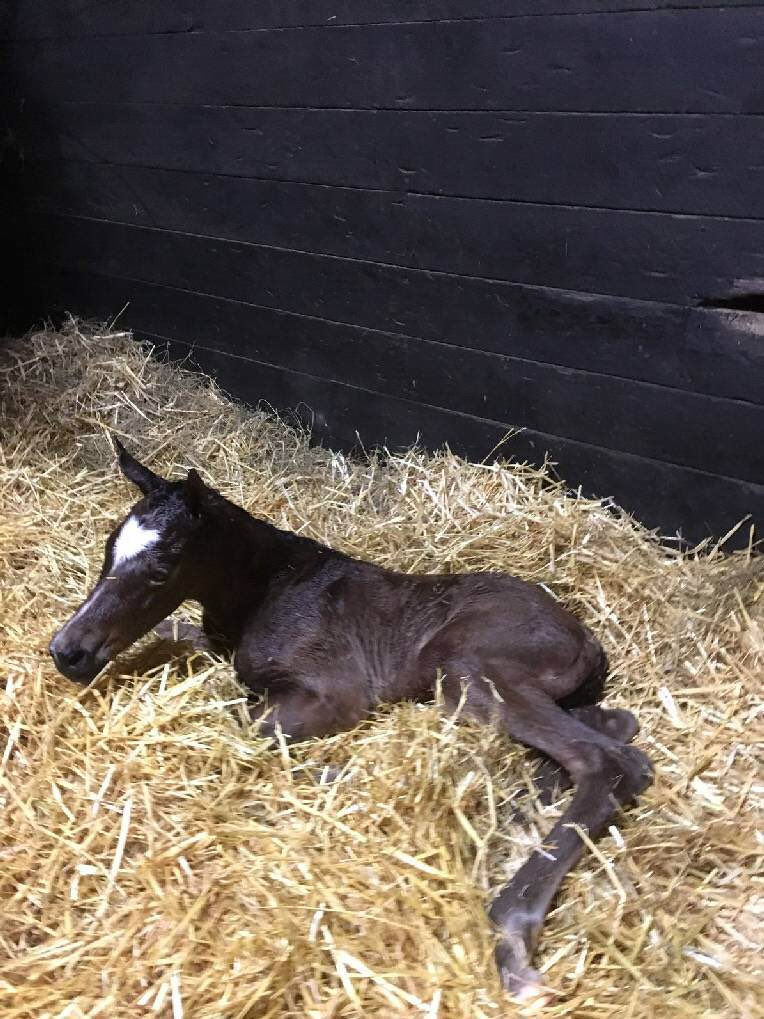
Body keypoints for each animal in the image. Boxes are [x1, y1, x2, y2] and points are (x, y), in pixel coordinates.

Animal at [49, 439, 653, 1004]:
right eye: (108, 550)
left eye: (160, 571)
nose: (67, 652)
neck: (267, 588)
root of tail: (585, 638)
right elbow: (175, 641)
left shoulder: (335, 693)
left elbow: (242, 727)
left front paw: (337, 777)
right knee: (614, 726)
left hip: (468, 672)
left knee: (610, 762)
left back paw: (510, 933)